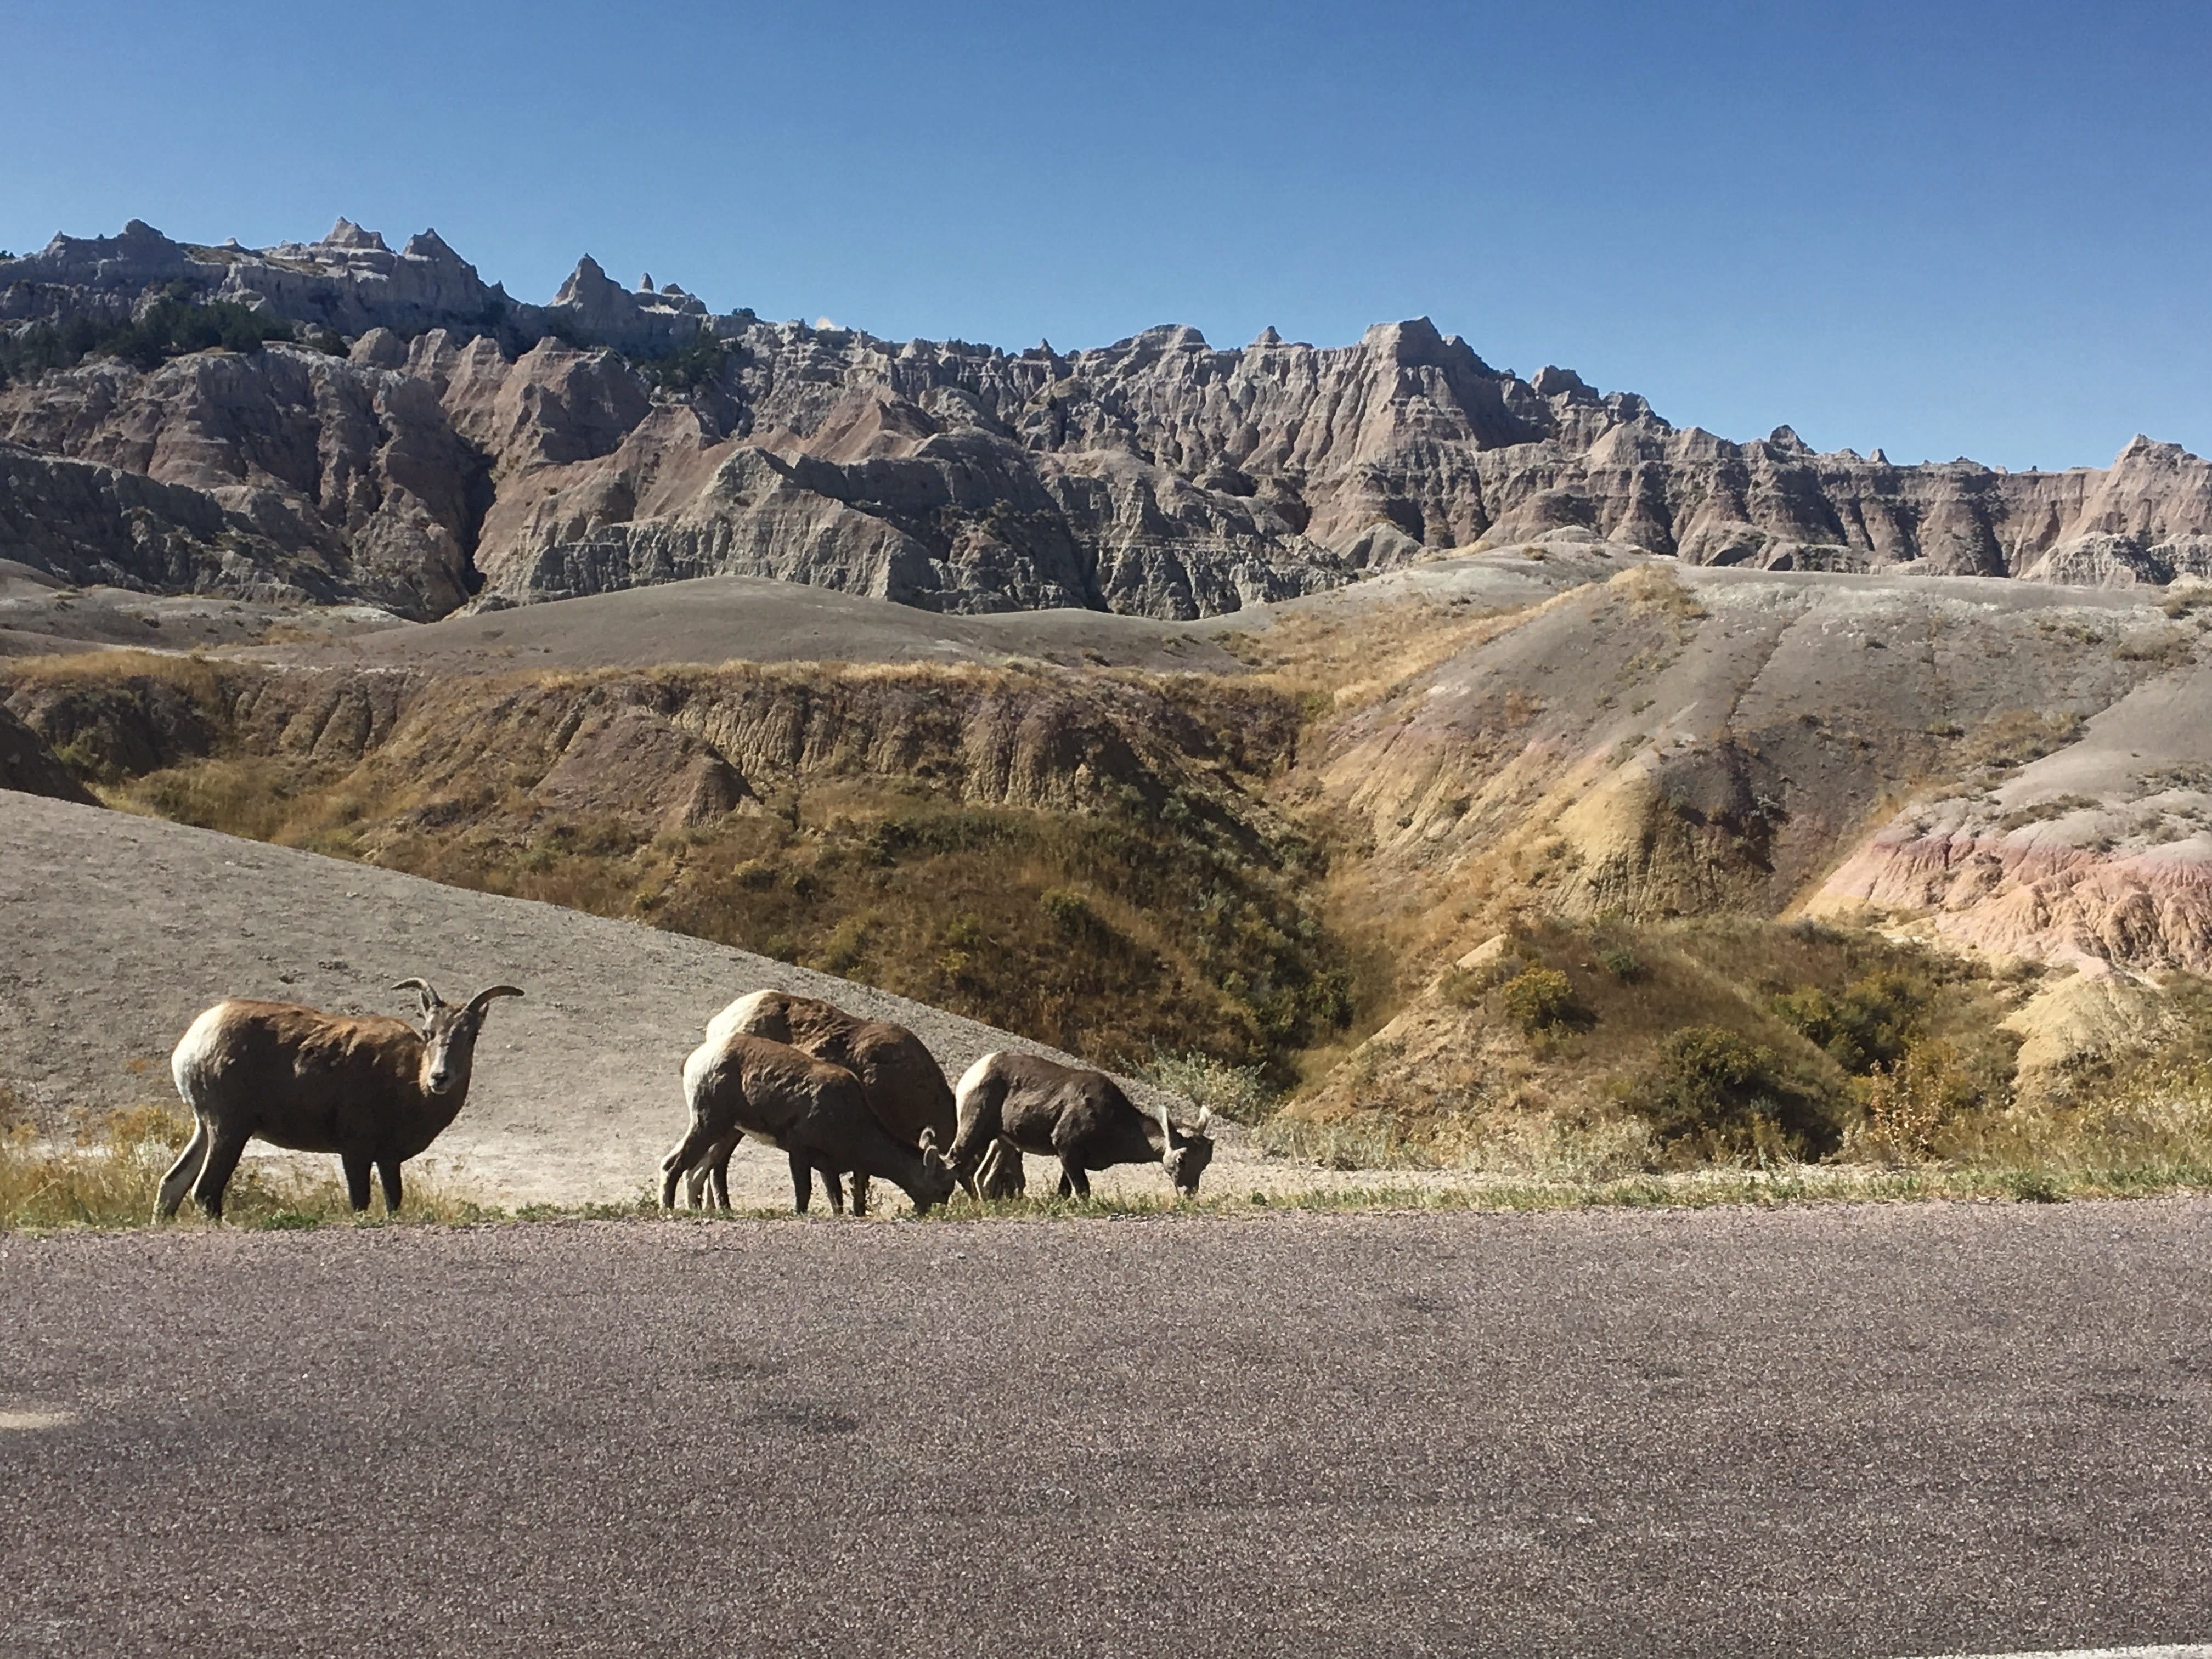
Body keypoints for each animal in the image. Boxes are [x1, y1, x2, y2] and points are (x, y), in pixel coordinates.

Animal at [157, 979, 523, 1222]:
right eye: (428, 1032)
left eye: (472, 1034)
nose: (439, 1078)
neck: (408, 1086)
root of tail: (192, 1043)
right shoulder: (355, 1152)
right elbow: (360, 1202)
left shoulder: (388, 1160)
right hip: (230, 1130)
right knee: (205, 1191)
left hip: (206, 1128)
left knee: (172, 1185)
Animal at [947, 1050, 1213, 1200]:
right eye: (1181, 1159)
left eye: (1205, 1163)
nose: (1189, 1193)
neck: (1114, 1123)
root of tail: (973, 1073)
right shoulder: (1067, 1148)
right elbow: (1082, 1192)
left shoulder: (1071, 1159)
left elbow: (1064, 1194)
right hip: (975, 1130)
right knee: (956, 1163)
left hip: (1003, 1142)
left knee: (983, 1178)